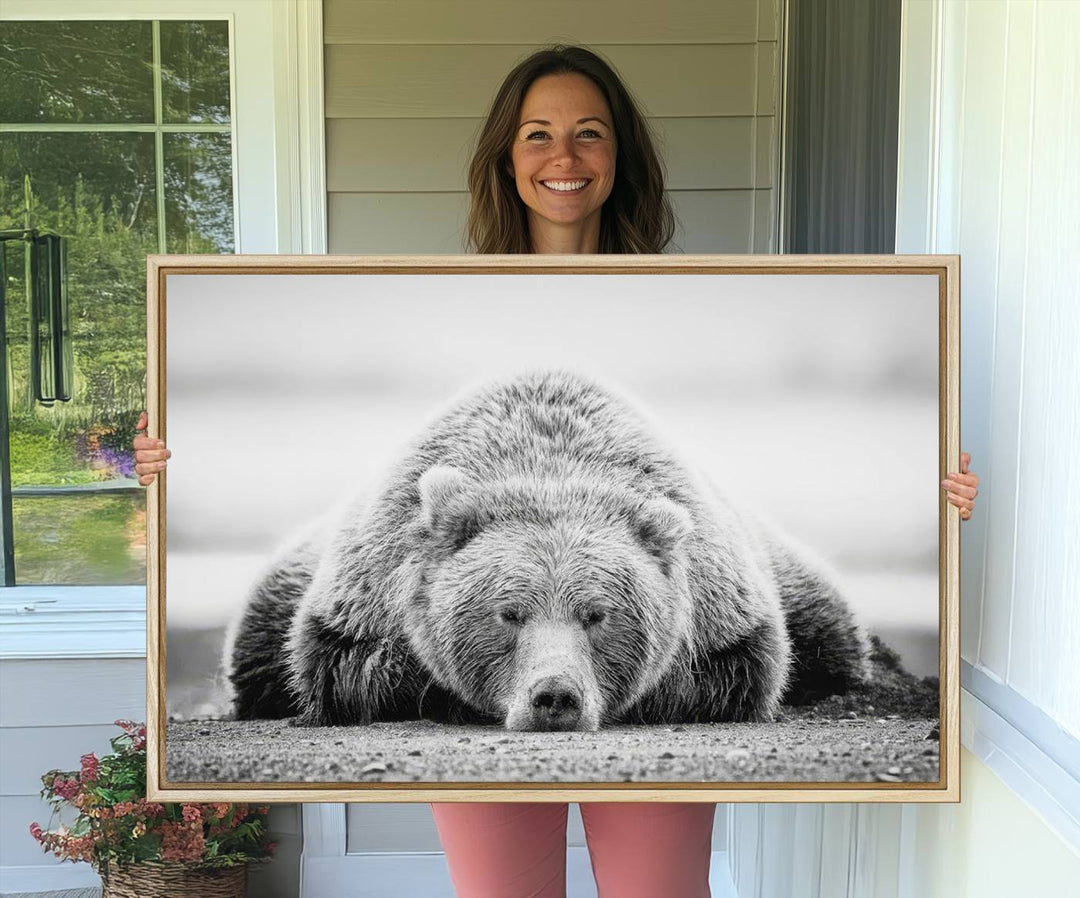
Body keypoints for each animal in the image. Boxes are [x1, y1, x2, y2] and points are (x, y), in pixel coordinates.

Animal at [227, 371, 868, 730]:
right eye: (508, 613)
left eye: (598, 614)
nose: (554, 696)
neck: (549, 468)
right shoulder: (363, 595)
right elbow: (348, 667)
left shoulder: (723, 609)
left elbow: (737, 671)